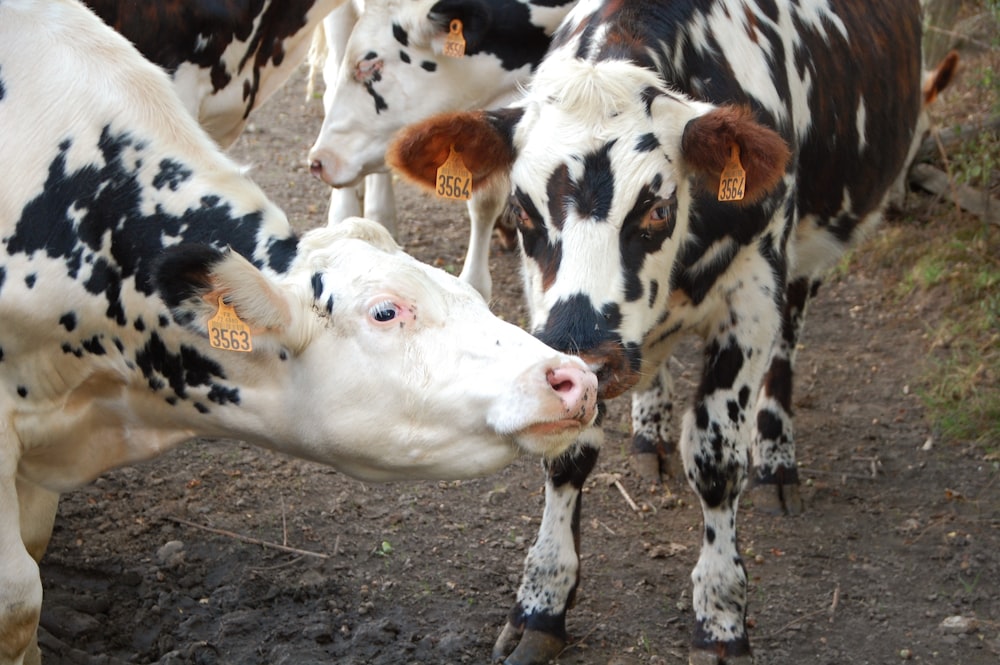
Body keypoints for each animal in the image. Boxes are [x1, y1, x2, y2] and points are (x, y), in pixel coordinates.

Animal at [390, 0, 936, 660]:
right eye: (521, 210)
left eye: (657, 208)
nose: (592, 353)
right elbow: (567, 454)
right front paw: (542, 603)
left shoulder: (753, 295)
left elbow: (716, 458)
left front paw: (721, 615)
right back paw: (649, 428)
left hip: (809, 255)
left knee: (788, 343)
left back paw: (777, 456)